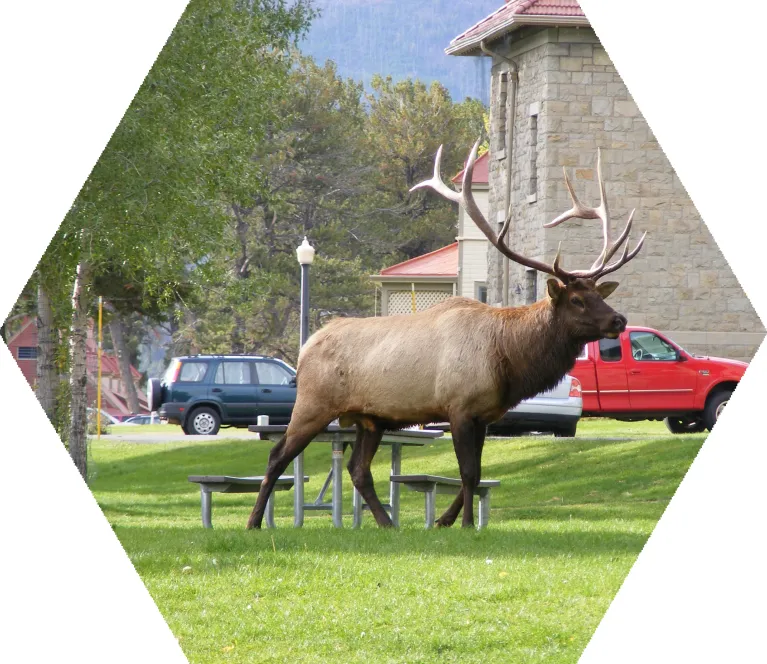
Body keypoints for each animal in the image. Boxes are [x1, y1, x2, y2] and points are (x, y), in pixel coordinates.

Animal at [247, 140, 646, 530]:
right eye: (577, 299)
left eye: (598, 294)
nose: (618, 319)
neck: (508, 359)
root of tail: (305, 348)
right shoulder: (459, 407)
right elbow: (467, 472)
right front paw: (465, 523)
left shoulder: (485, 416)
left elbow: (478, 473)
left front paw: (444, 520)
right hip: (313, 403)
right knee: (277, 455)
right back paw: (254, 522)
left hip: (369, 419)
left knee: (358, 469)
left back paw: (387, 524)